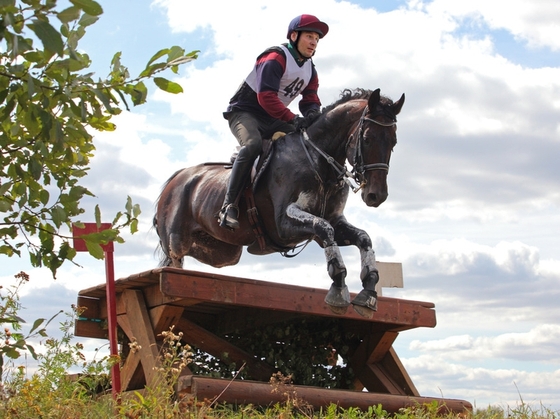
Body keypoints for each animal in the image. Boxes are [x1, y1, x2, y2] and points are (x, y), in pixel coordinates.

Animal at [155, 88, 404, 318]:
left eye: (394, 142)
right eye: (367, 139)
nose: (376, 195)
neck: (318, 161)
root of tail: (174, 180)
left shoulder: (333, 221)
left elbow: (362, 238)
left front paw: (368, 292)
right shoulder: (283, 225)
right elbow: (325, 229)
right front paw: (338, 287)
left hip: (223, 254)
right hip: (176, 243)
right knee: (174, 262)